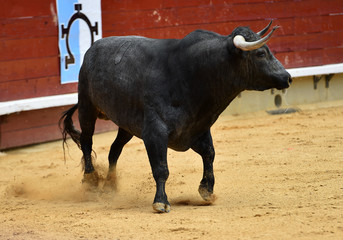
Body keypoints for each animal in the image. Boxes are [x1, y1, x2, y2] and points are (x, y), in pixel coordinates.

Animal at [59, 21, 292, 213]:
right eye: (260, 53)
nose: (287, 78)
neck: (191, 74)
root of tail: (92, 49)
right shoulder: (155, 132)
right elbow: (161, 168)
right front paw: (161, 202)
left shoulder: (196, 128)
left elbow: (209, 154)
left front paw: (207, 190)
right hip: (87, 106)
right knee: (87, 141)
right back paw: (90, 181)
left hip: (126, 125)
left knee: (114, 150)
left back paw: (109, 186)